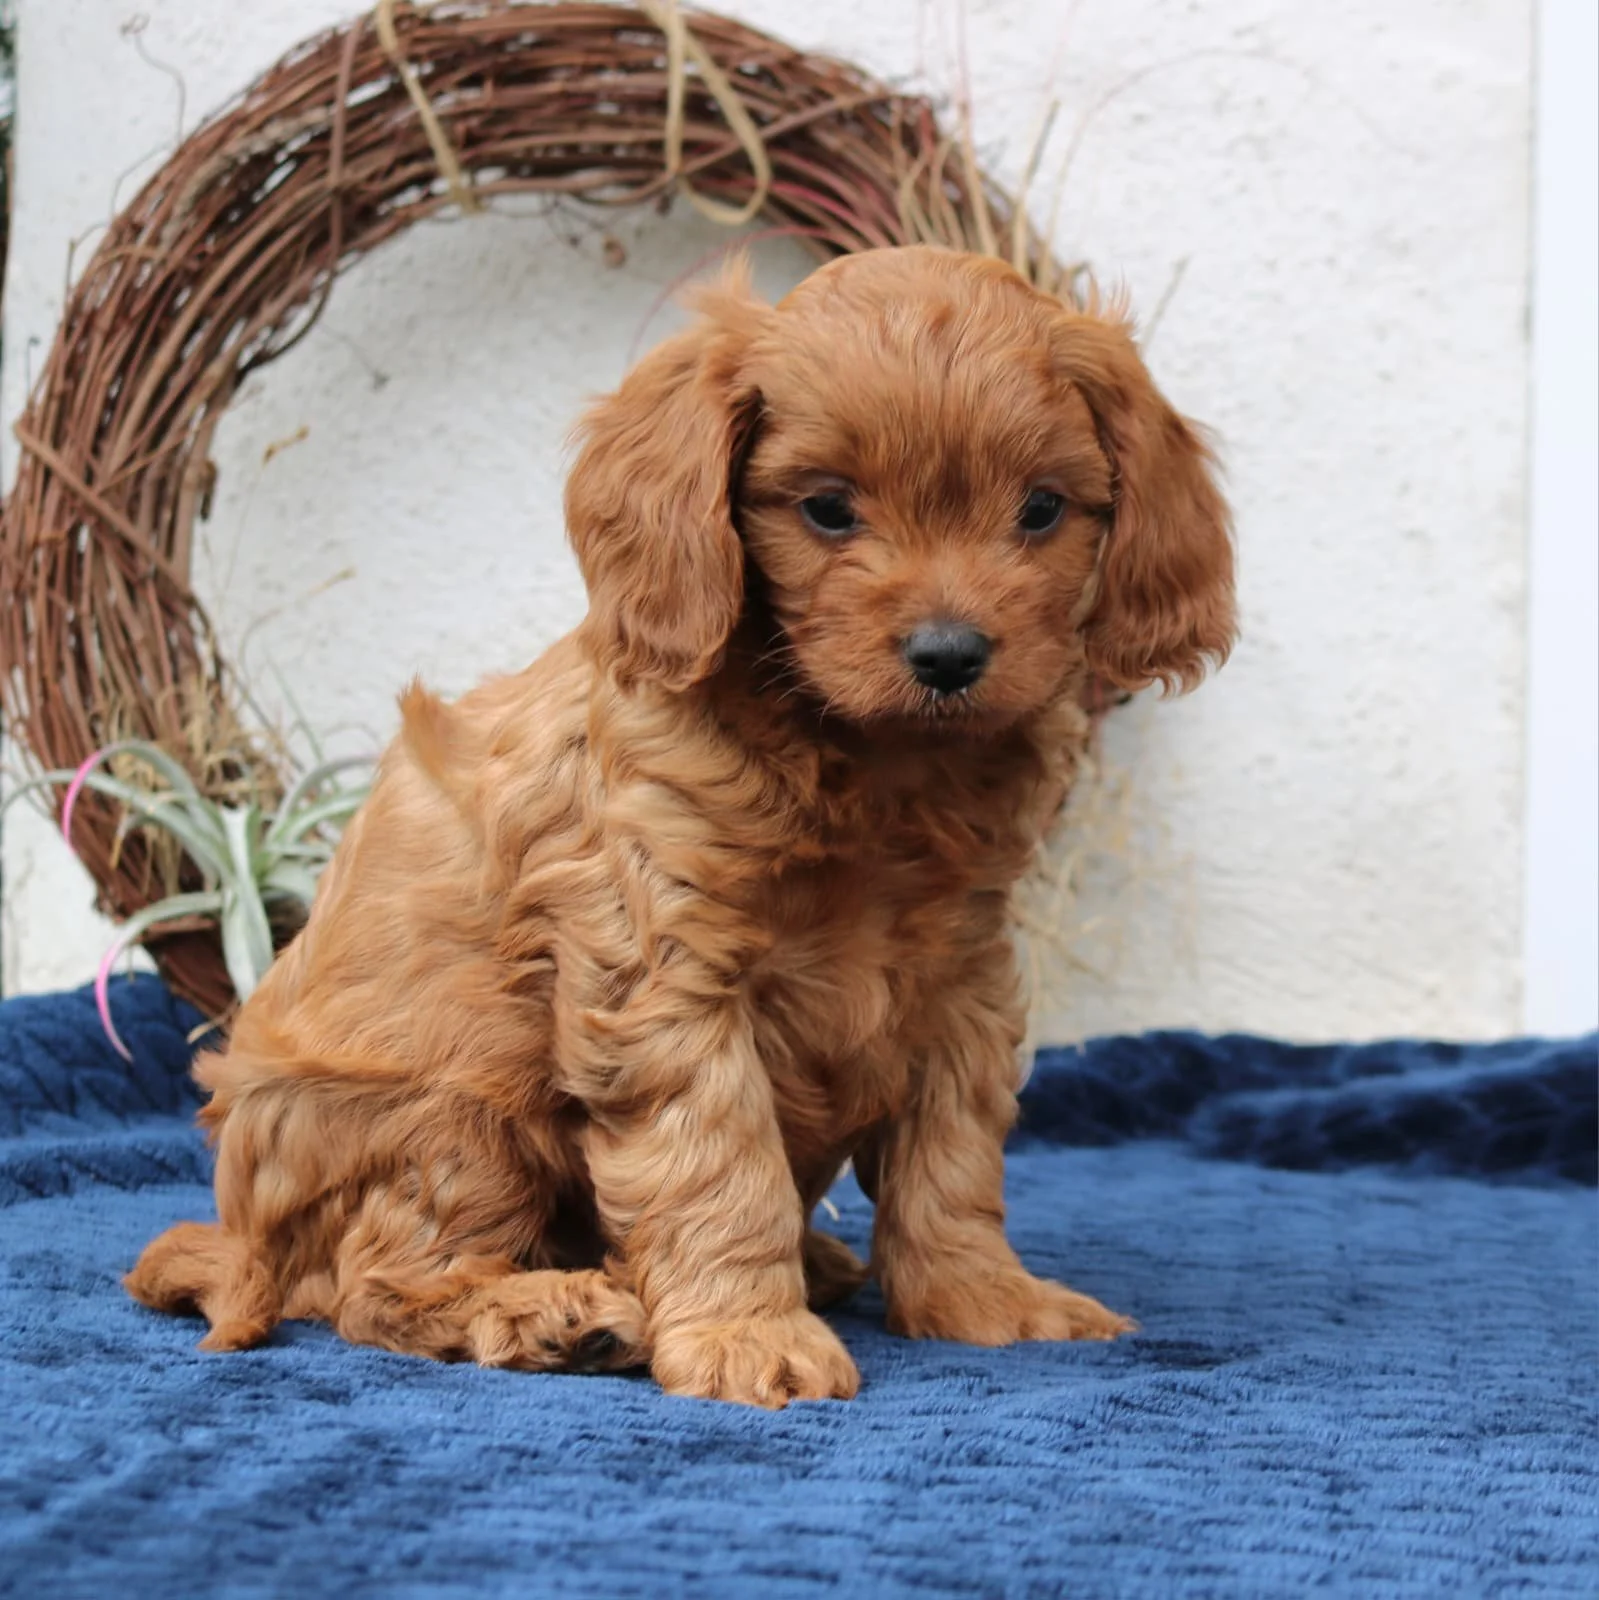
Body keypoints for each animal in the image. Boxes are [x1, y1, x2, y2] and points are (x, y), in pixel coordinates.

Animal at [127, 245, 1235, 1407]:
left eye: (1041, 509)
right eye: (827, 509)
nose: (948, 654)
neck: (871, 763)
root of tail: (240, 1236)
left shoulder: (962, 975)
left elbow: (953, 1154)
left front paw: (983, 1299)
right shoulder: (659, 967)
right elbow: (717, 1158)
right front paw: (751, 1334)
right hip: (460, 1103)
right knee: (378, 1288)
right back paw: (554, 1311)